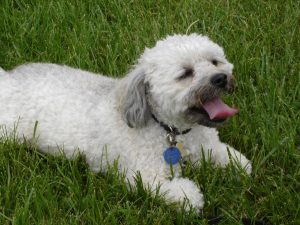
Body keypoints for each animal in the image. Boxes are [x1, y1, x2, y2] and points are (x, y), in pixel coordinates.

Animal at [0, 33, 251, 211]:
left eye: (215, 61)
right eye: (185, 73)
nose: (220, 78)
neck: (173, 131)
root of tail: (6, 80)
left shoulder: (207, 146)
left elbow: (226, 155)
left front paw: (240, 167)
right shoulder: (144, 176)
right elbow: (177, 191)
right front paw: (191, 198)